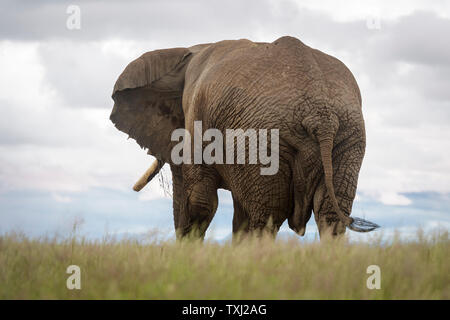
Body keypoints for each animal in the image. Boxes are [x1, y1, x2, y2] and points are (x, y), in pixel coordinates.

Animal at [110, 36, 378, 239]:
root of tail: (320, 115)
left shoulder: (198, 120)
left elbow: (198, 201)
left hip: (263, 137)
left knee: (267, 216)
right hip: (348, 138)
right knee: (329, 216)